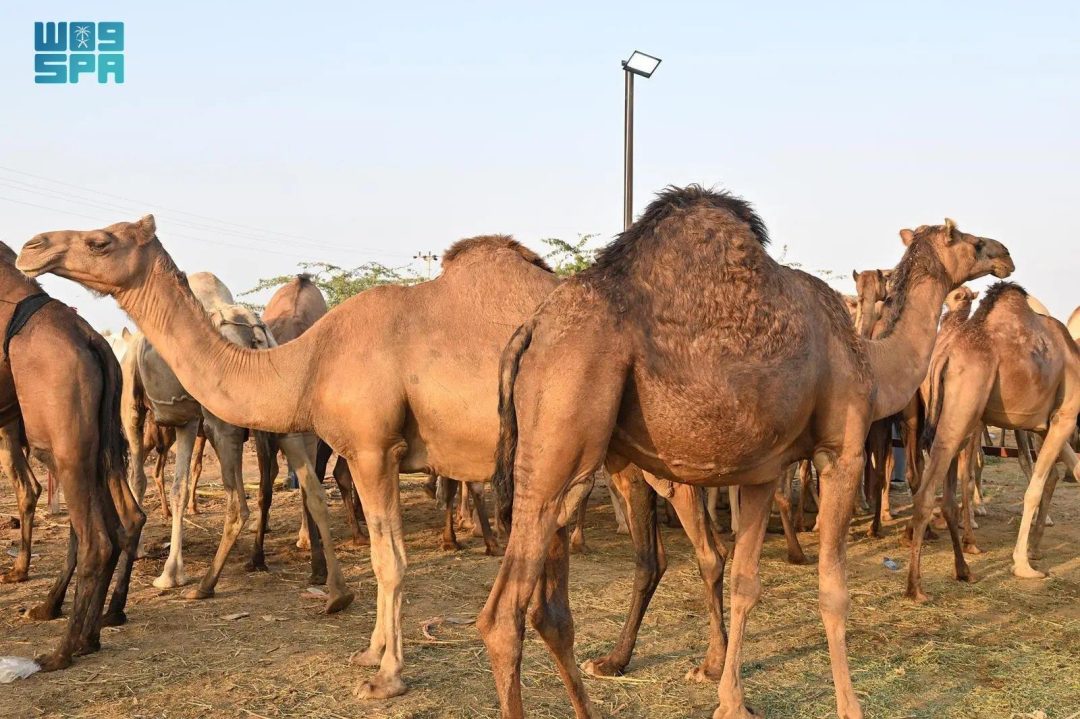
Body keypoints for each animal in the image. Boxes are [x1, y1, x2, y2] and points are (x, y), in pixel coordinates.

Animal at [0, 242, 143, 671]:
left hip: (61, 442)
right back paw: (89, 632)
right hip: (95, 445)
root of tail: (95, 341)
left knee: (94, 537)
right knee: (122, 522)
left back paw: (62, 649)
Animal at [478, 186, 1013, 719]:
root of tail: (531, 328)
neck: (872, 364)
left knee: (550, 609)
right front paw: (850, 706)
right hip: (564, 432)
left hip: (566, 460)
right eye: (969, 240)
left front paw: (730, 700)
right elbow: (833, 590)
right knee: (503, 615)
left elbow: (745, 583)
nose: (1004, 253)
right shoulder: (841, 453)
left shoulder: (762, 472)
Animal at [910, 282, 1080, 598]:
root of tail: (944, 353)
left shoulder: (1045, 423)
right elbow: (1034, 487)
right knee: (928, 490)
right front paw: (1023, 564)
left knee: (947, 494)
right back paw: (915, 588)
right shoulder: (1066, 415)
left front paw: (1034, 549)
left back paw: (964, 571)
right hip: (964, 410)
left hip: (953, 416)